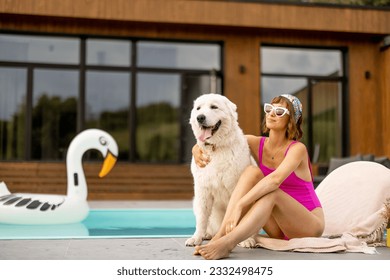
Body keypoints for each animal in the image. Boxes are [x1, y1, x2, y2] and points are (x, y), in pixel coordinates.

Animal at [185, 93, 253, 246]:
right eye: (198, 108)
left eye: (214, 107)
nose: (200, 117)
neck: (215, 148)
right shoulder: (203, 190)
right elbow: (202, 218)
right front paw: (196, 238)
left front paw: (246, 240)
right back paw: (207, 234)